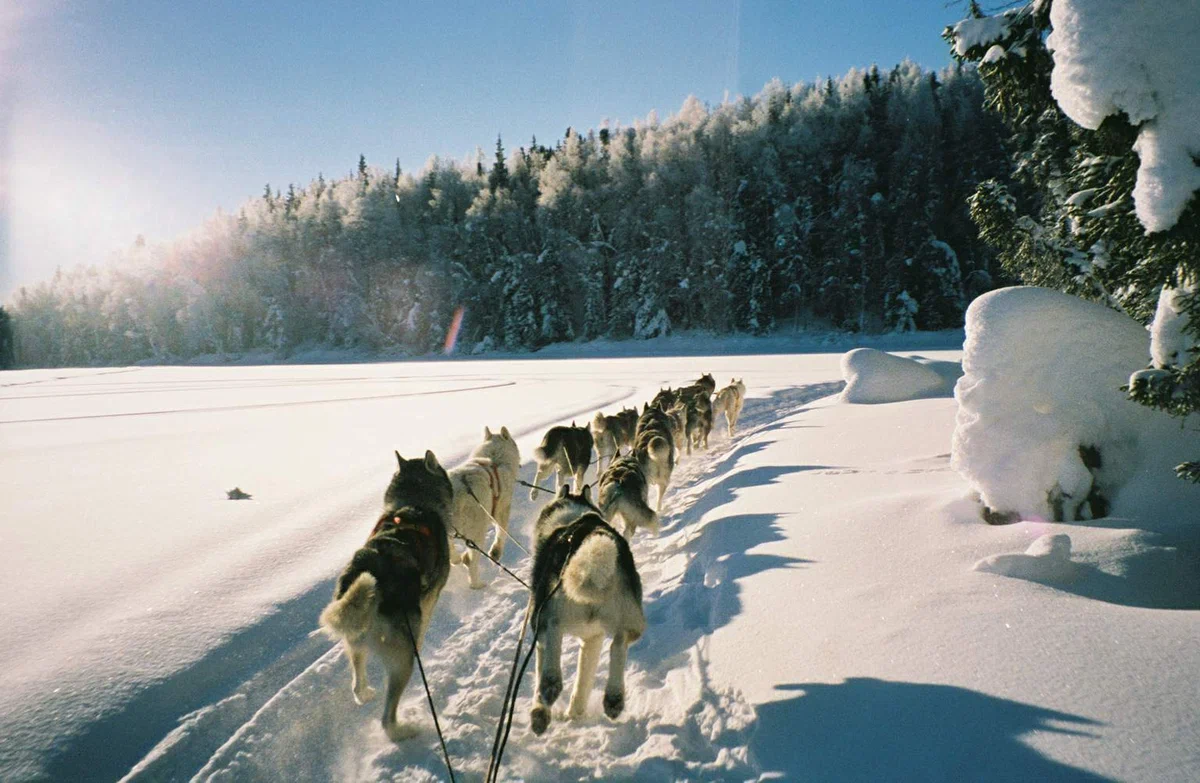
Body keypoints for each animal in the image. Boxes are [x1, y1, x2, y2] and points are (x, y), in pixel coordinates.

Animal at [319, 449, 453, 744]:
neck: (413, 503)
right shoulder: (429, 600)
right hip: (403, 661)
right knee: (386, 719)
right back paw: (403, 731)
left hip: (355, 643)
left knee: (357, 684)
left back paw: (365, 692)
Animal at [448, 427, 518, 586]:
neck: (494, 459)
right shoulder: (501, 509)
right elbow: (501, 532)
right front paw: (495, 552)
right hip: (477, 530)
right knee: (471, 561)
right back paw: (477, 584)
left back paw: (456, 559)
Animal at [528, 482, 643, 734]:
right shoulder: (592, 638)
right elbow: (583, 681)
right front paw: (575, 713)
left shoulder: (539, 629)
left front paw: (541, 712)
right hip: (628, 620)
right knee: (619, 644)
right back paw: (613, 698)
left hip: (545, 612)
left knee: (552, 630)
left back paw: (549, 686)